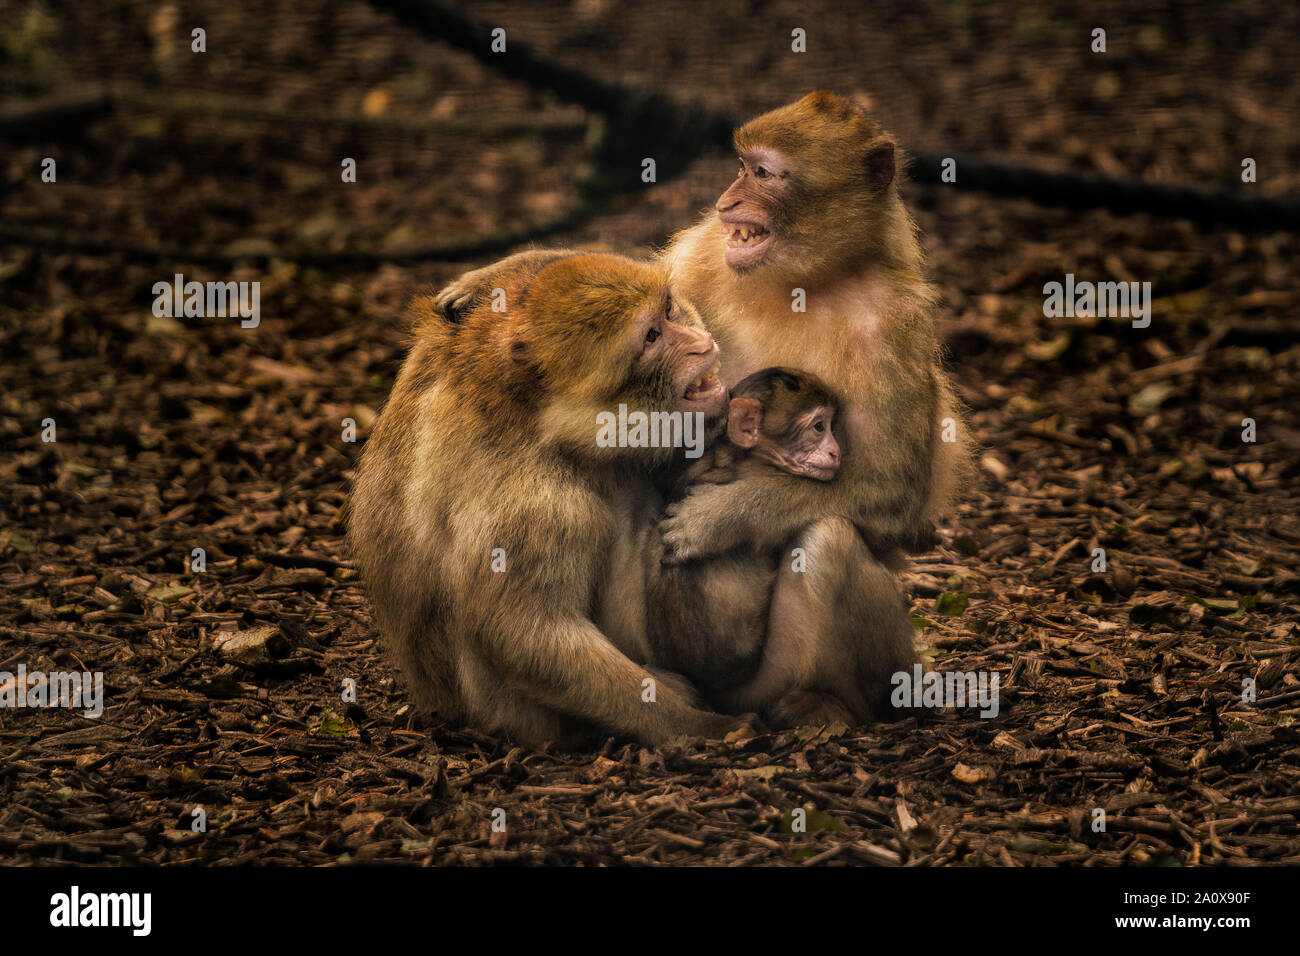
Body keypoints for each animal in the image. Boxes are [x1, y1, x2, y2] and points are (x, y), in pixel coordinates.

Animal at [351, 252, 748, 749]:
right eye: (652, 338)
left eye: (670, 310)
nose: (699, 344)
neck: (541, 421)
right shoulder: (537, 507)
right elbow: (527, 636)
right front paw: (695, 727)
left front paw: (478, 283)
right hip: (520, 717)